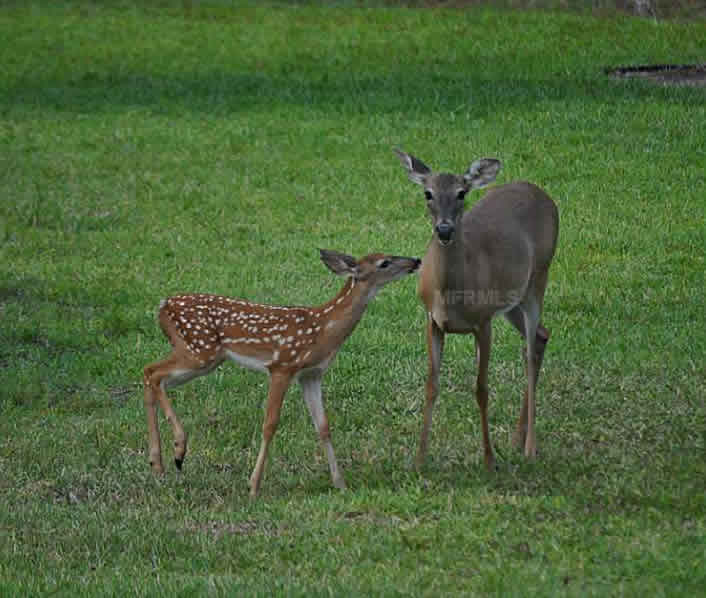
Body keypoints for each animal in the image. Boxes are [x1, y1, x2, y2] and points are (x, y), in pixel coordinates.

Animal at [143, 248, 418, 496]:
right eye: (384, 262)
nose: (416, 261)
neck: (323, 330)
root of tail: (162, 306)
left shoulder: (311, 374)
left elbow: (323, 426)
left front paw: (340, 484)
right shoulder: (282, 366)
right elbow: (270, 424)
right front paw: (254, 486)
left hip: (202, 355)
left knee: (151, 374)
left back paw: (158, 464)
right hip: (200, 350)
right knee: (153, 372)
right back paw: (178, 450)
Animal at [394, 149, 560, 468]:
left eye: (462, 192)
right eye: (427, 193)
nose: (444, 229)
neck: (451, 296)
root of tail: (542, 193)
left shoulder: (483, 322)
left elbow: (481, 388)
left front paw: (489, 459)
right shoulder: (432, 320)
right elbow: (431, 385)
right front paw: (419, 460)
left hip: (538, 277)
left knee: (530, 349)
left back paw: (530, 447)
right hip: (511, 300)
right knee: (541, 337)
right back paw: (516, 438)